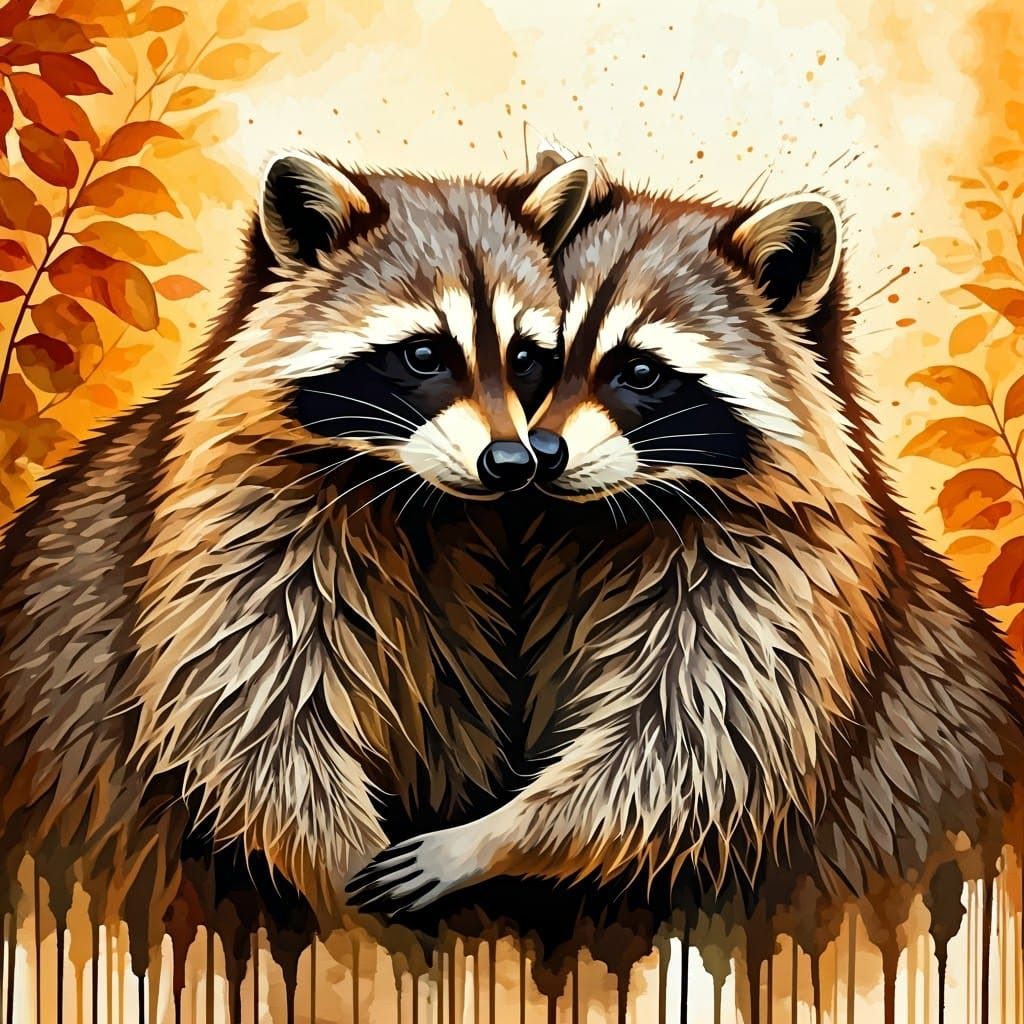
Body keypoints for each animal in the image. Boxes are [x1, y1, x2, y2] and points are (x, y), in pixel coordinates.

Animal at [0, 150, 595, 919]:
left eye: (525, 359)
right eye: (424, 356)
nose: (511, 464)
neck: (401, 488)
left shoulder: (459, 576)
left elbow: (455, 707)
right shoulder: (230, 529)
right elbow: (256, 729)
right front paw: (344, 883)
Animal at [352, 170, 1024, 912]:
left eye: (640, 372)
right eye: (540, 362)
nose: (540, 456)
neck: (626, 512)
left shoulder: (778, 596)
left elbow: (687, 761)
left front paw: (490, 838)